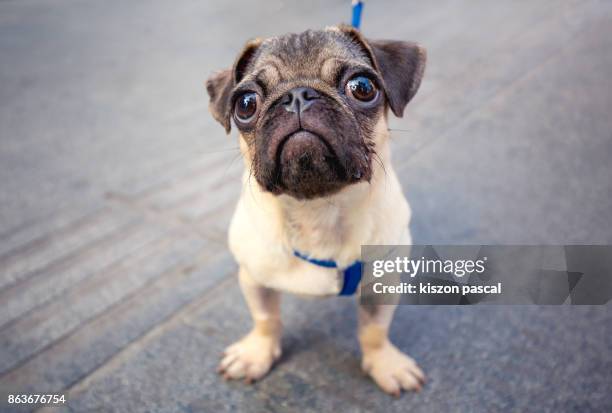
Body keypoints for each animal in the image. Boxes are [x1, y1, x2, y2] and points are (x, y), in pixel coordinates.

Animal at [206, 23, 426, 396]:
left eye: (362, 87)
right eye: (246, 103)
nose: (297, 95)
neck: (318, 209)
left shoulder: (382, 286)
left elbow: (375, 331)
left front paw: (385, 364)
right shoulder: (253, 278)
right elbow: (265, 319)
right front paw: (256, 354)